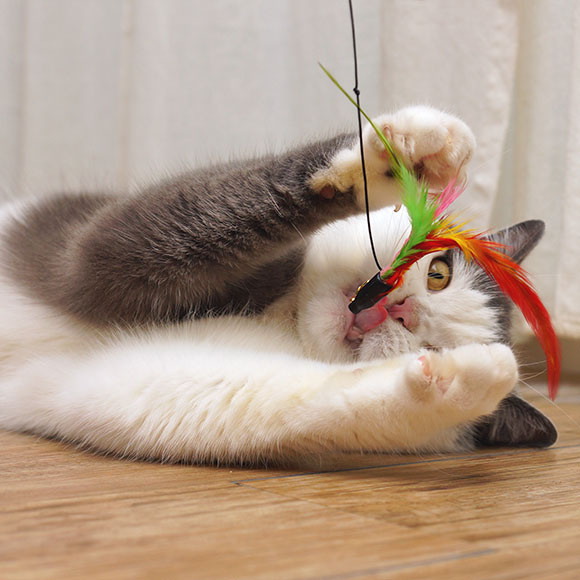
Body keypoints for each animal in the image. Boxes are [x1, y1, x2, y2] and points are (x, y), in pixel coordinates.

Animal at [0, 106, 556, 465]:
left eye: (433, 345)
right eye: (439, 272)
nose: (399, 310)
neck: (287, 316)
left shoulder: (137, 382)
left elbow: (257, 397)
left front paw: (470, 378)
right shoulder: (91, 251)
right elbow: (123, 246)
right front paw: (401, 159)